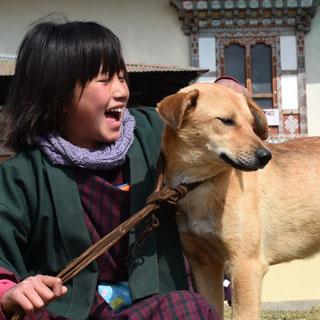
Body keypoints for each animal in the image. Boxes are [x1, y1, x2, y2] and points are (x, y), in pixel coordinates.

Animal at [156, 83, 320, 320]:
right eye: (226, 121)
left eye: (252, 125)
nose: (266, 156)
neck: (200, 184)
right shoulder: (204, 264)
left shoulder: (246, 266)